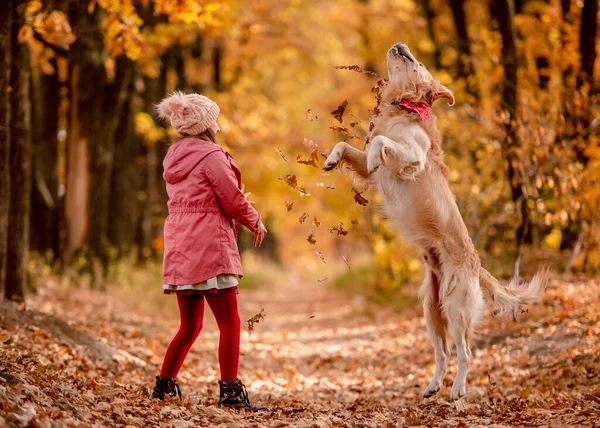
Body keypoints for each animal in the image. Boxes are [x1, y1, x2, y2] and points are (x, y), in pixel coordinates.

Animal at [324, 42, 548, 402]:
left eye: (418, 62)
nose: (401, 45)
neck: (403, 107)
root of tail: (476, 265)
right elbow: (347, 144)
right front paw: (331, 159)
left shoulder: (413, 154)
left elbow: (380, 144)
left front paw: (373, 158)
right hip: (431, 310)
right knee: (442, 353)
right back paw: (432, 386)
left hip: (456, 308)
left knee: (464, 352)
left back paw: (458, 389)